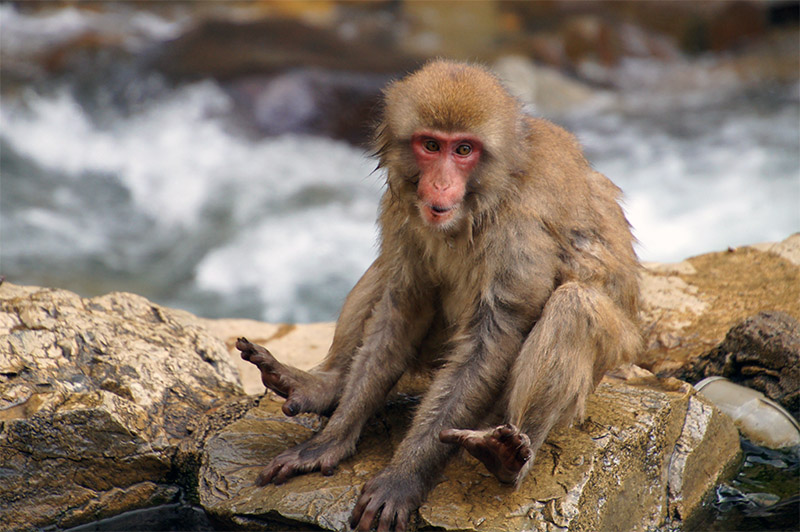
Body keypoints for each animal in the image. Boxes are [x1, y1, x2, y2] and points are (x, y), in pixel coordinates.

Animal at [237, 59, 641, 532]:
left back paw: (507, 458)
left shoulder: (520, 229)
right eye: (431, 145)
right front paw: (330, 440)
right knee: (387, 271)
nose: (442, 183)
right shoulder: (401, 207)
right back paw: (321, 387)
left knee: (574, 305)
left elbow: (493, 338)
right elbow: (403, 306)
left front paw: (403, 478)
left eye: (463, 150)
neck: (484, 196)